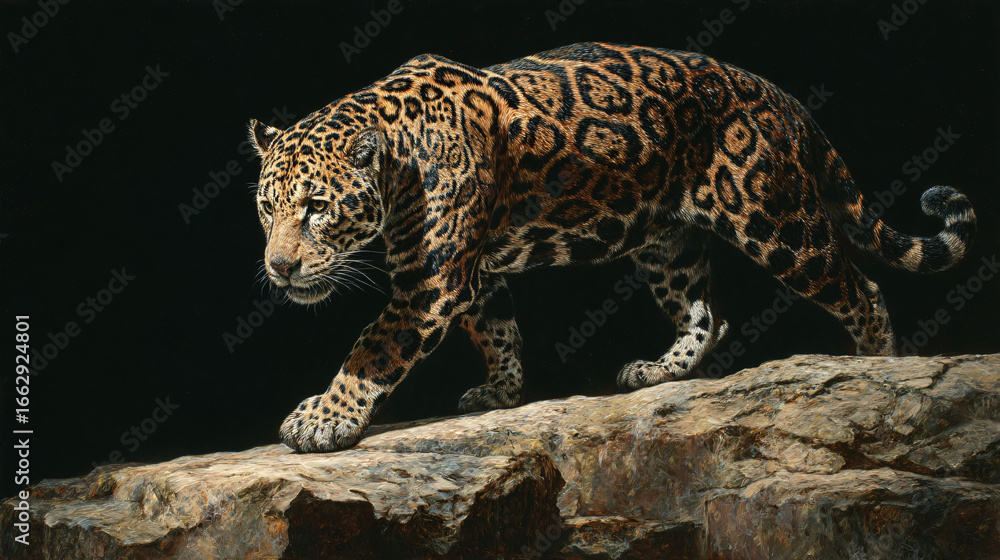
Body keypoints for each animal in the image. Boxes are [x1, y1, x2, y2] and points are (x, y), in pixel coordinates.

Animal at [249, 42, 976, 453]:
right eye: (267, 208)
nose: (280, 267)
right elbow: (499, 328)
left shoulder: (432, 281)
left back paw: (877, 370)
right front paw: (502, 391)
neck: (399, 157)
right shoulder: (475, 272)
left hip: (776, 221)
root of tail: (779, 96)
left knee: (862, 289)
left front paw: (321, 420)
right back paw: (656, 372)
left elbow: (372, 351)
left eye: (316, 208)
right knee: (707, 314)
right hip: (665, 244)